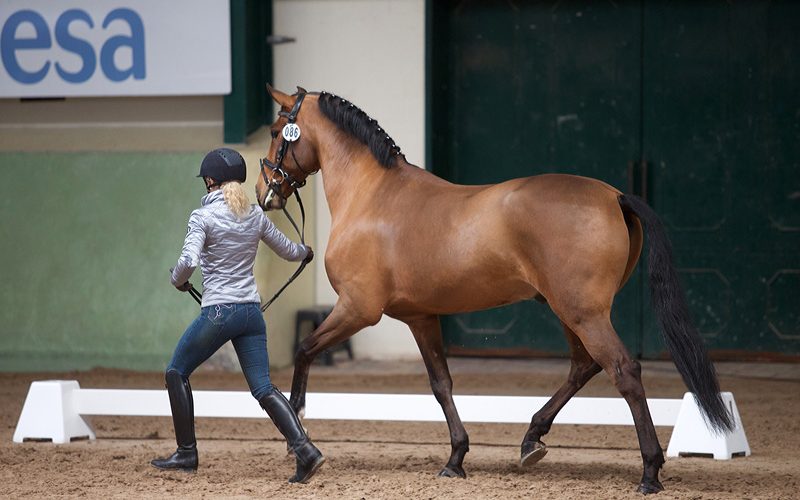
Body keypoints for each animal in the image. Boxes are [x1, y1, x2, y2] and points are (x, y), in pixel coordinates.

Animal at [255, 86, 733, 494]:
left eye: (278, 132)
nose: (265, 193)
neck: (373, 196)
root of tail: (614, 195)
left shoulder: (357, 309)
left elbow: (305, 350)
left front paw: (298, 429)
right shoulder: (420, 317)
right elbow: (441, 384)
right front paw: (456, 459)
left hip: (583, 313)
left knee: (623, 370)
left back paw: (649, 471)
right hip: (568, 312)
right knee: (583, 367)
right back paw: (531, 441)